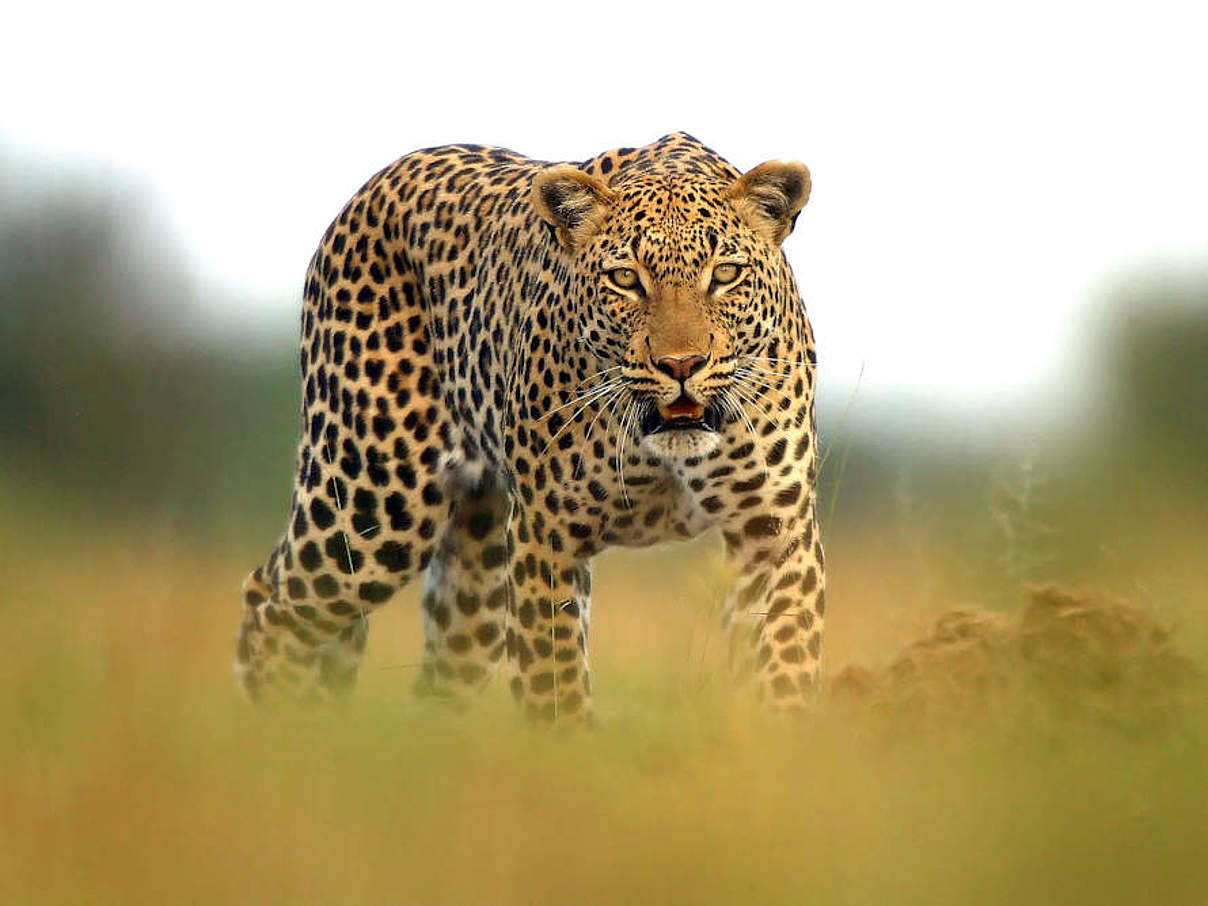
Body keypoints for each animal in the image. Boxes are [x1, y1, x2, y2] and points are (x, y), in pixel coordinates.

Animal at [234, 131, 821, 724]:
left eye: (725, 275)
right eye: (626, 279)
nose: (682, 365)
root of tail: (376, 183)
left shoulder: (772, 529)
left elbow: (785, 663)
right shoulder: (547, 536)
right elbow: (553, 687)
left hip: (478, 566)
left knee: (442, 678)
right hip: (372, 505)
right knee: (272, 601)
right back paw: (278, 727)